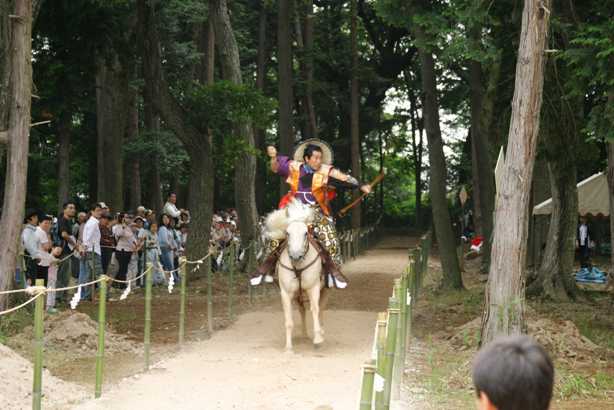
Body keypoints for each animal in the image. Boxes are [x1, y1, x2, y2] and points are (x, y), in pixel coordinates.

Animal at [266, 200, 330, 350]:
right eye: (287, 233)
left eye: (306, 233)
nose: (296, 255)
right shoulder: (286, 292)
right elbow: (289, 320)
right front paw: (289, 347)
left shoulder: (314, 288)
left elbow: (315, 309)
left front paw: (318, 339)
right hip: (298, 294)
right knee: (302, 309)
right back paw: (304, 334)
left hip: (324, 289)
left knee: (321, 308)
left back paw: (321, 332)